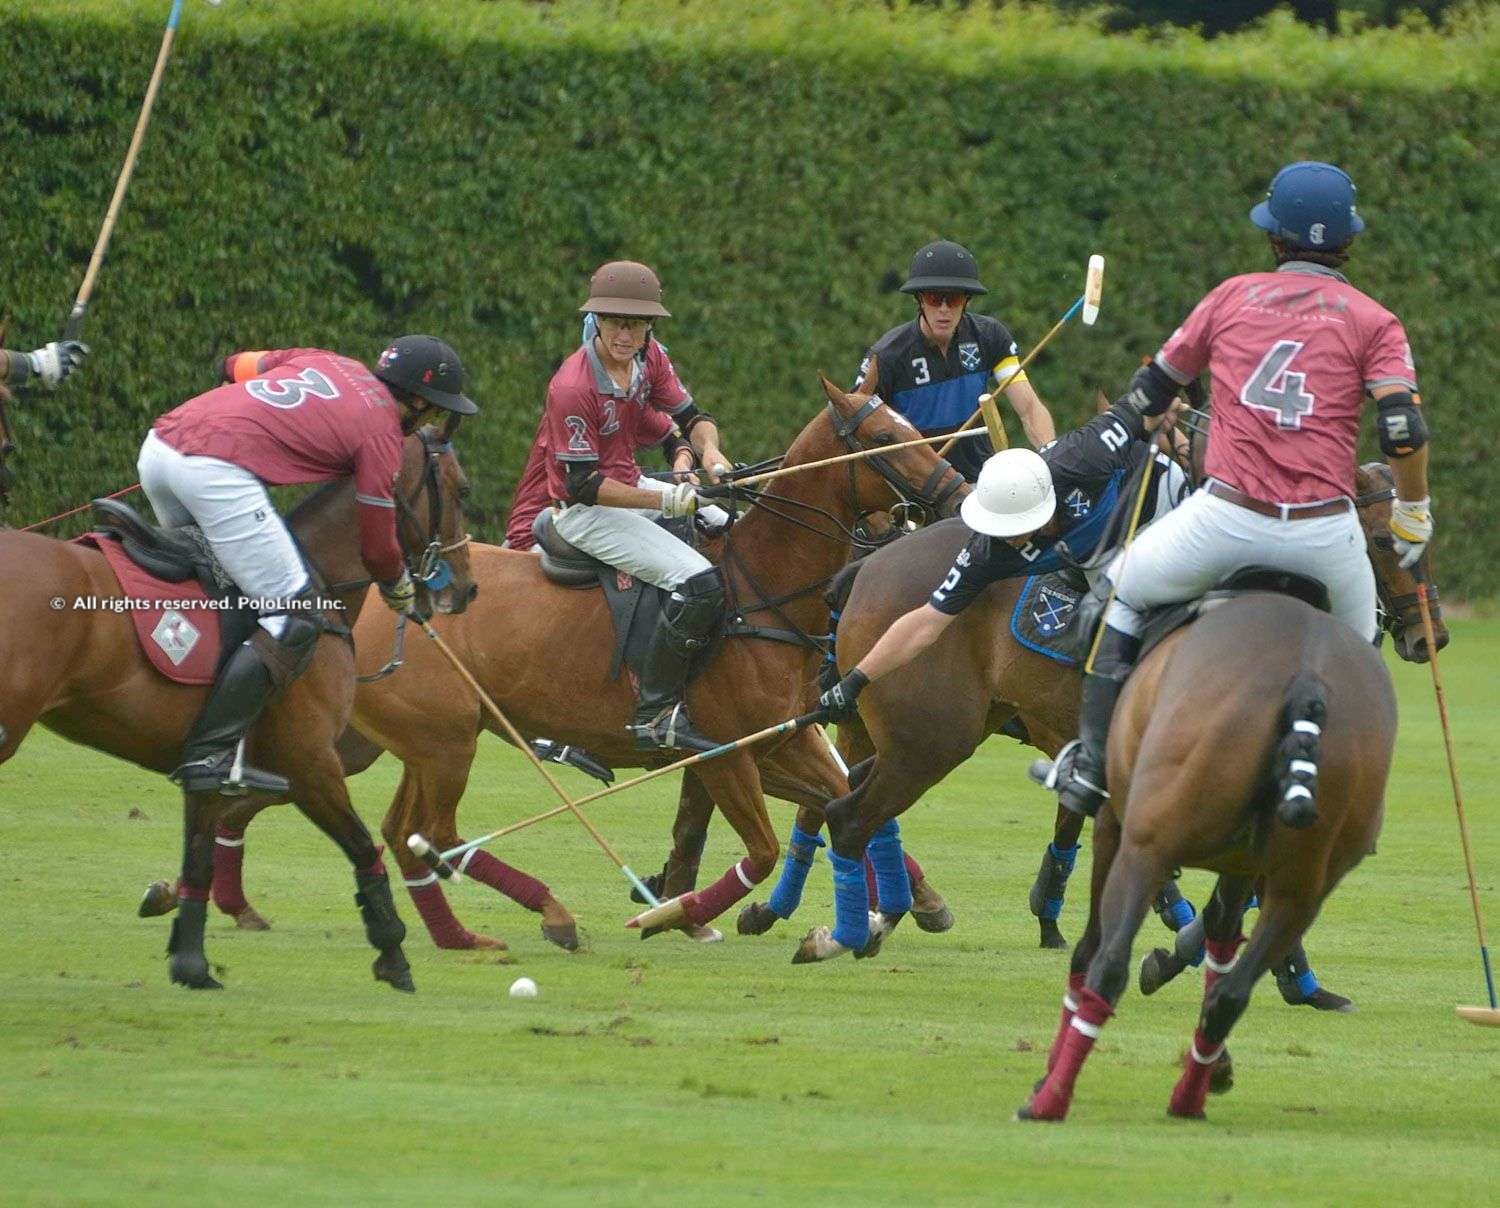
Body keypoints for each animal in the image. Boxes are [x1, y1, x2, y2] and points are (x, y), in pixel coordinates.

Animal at [0, 432, 474, 990]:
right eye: (461, 490)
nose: (466, 589)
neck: (321, 585)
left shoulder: (208, 765)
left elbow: (200, 860)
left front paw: (191, 965)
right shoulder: (311, 763)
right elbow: (361, 847)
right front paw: (393, 955)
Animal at [149, 372, 960, 948]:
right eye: (882, 436)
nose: (955, 493)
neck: (757, 589)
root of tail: (379, 599)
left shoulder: (780, 742)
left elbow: (847, 801)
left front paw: (902, 907)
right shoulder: (723, 751)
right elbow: (762, 848)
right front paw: (671, 914)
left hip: (417, 740)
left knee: (395, 828)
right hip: (433, 741)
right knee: (419, 830)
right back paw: (549, 912)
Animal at [1020, 471, 1440, 1122]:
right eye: (1378, 540)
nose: (1430, 636)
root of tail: (1306, 679)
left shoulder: (1132, 826)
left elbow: (1175, 936)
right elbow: (1220, 931)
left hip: (1161, 837)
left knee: (1111, 961)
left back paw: (1057, 1093)